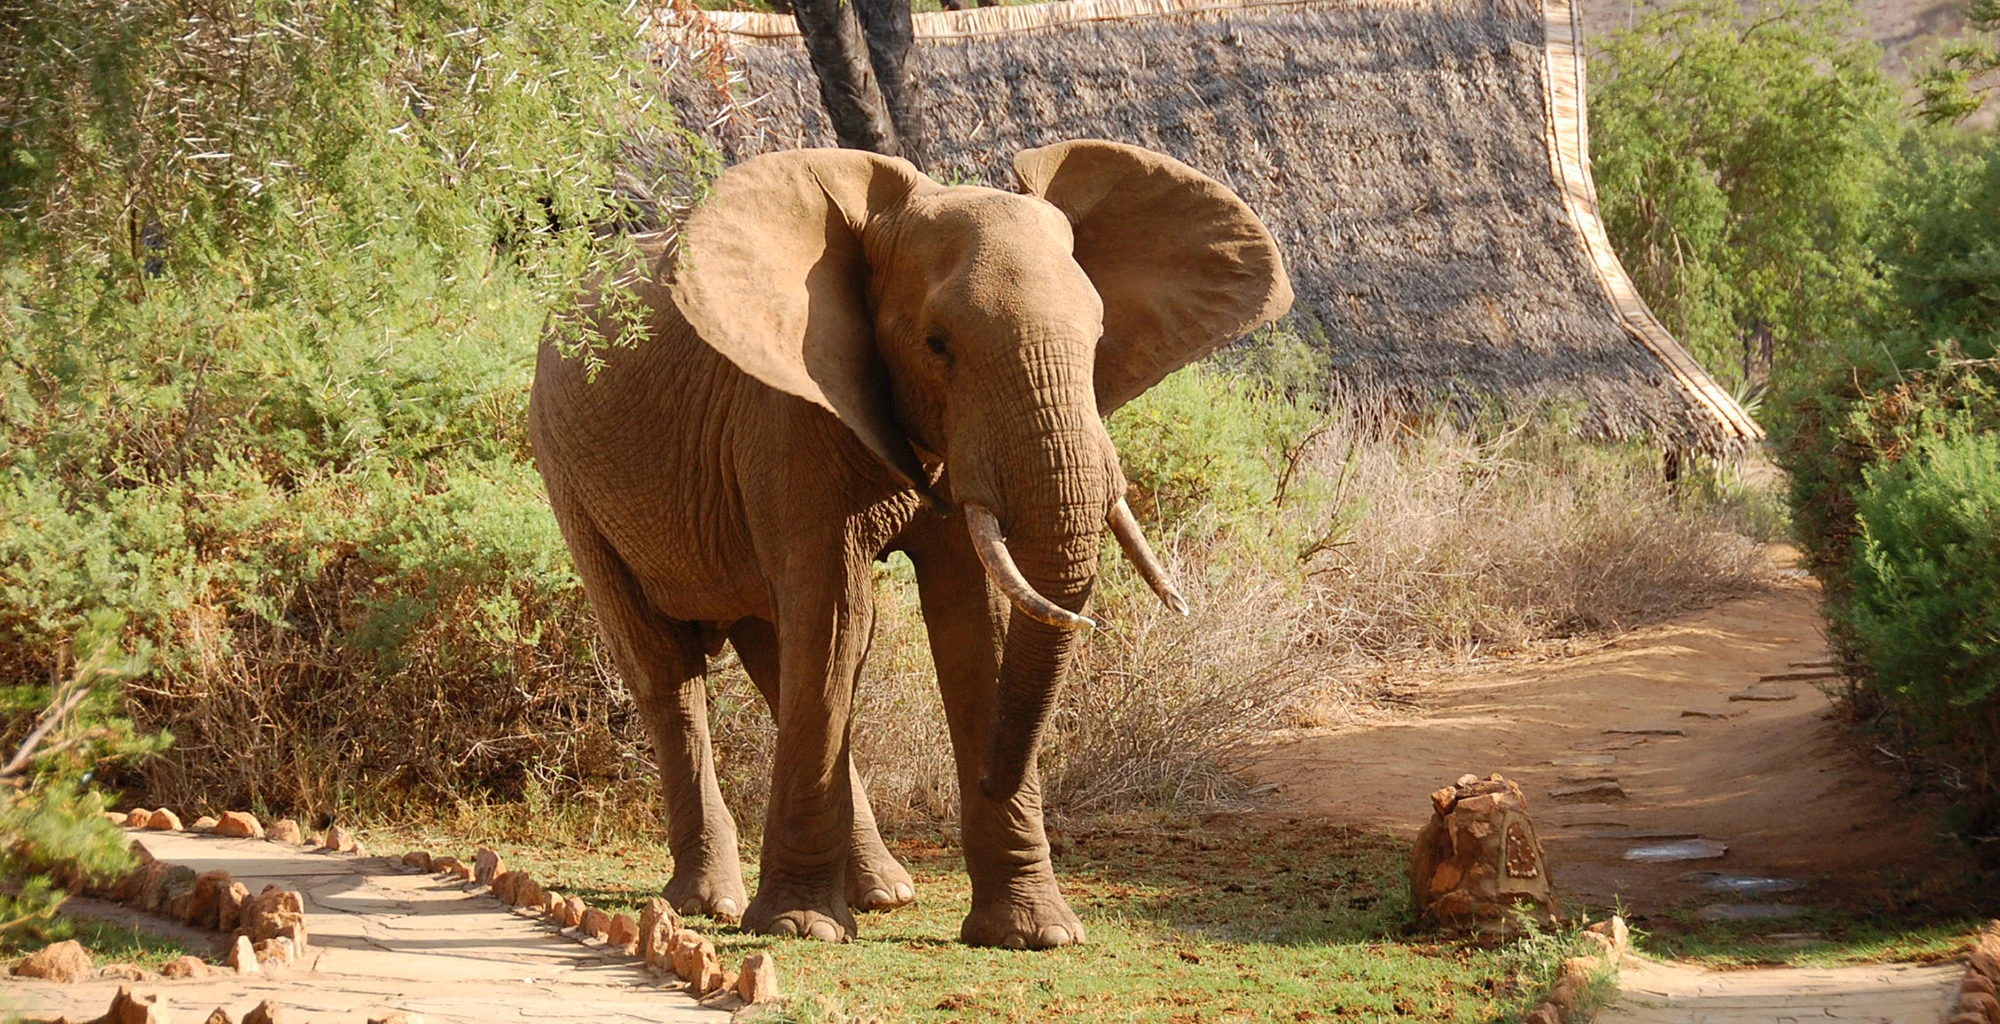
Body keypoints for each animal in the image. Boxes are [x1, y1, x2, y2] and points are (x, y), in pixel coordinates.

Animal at [528, 139, 1291, 949]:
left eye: (1096, 340)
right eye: (937, 346)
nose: (993, 776)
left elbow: (971, 628)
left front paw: (1035, 935)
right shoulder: (786, 407)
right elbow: (840, 616)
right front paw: (801, 928)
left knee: (778, 654)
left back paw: (884, 893)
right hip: (564, 468)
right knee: (670, 668)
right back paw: (717, 904)